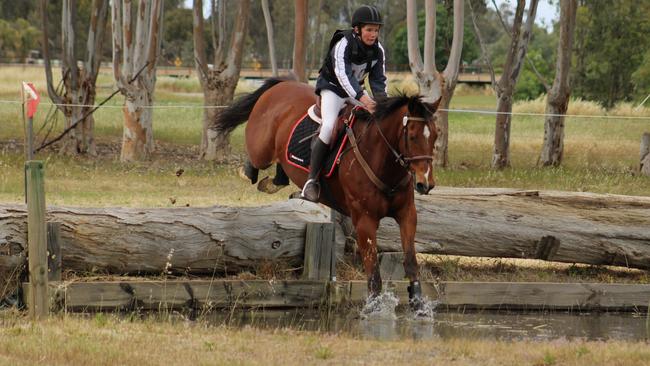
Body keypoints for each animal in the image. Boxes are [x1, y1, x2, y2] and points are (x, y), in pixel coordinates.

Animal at [214, 78, 440, 310]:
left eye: (435, 135)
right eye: (412, 136)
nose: (425, 184)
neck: (383, 162)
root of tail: (283, 83)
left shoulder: (407, 214)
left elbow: (411, 262)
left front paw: (419, 306)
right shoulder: (365, 221)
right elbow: (373, 274)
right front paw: (375, 309)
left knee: (280, 170)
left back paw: (274, 183)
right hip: (262, 149)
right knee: (256, 158)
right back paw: (248, 171)